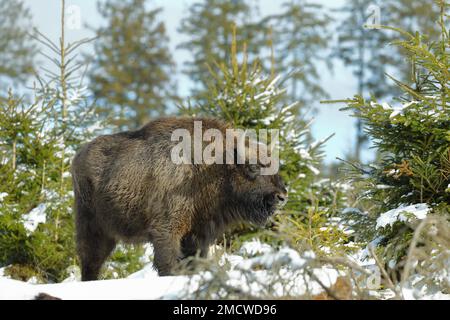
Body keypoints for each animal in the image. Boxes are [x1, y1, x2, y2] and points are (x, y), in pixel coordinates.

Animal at [71, 117, 286, 280]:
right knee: (91, 260)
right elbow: (168, 264)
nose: (281, 196)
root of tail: (78, 155)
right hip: (92, 226)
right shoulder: (167, 230)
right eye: (253, 167)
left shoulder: (198, 235)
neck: (212, 167)